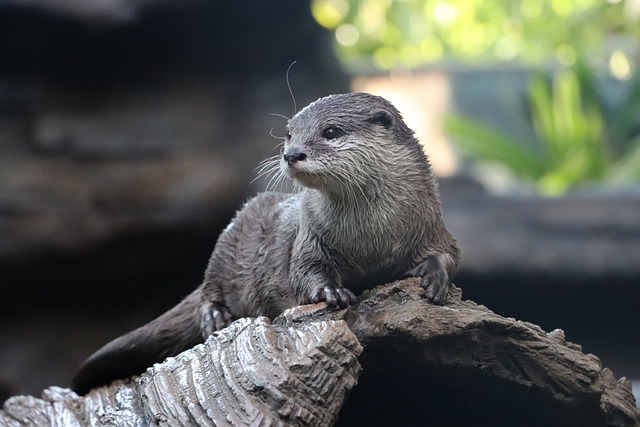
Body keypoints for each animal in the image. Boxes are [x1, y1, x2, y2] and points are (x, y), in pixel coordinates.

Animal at [71, 92, 460, 394]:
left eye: (331, 132)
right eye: (288, 134)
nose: (292, 154)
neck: (371, 237)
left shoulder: (432, 224)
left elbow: (447, 253)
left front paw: (435, 278)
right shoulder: (308, 238)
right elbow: (305, 271)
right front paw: (331, 292)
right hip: (228, 243)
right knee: (208, 288)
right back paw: (215, 315)